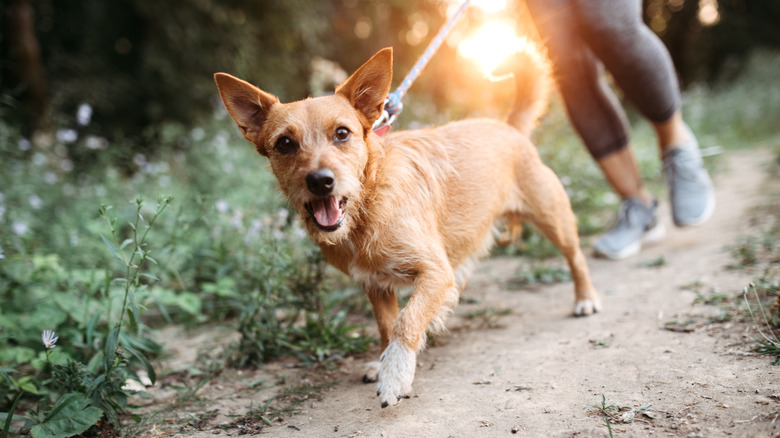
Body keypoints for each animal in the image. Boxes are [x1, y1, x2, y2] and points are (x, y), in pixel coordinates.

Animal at [210, 44, 600, 408]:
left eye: (342, 133)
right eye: (285, 143)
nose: (320, 181)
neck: (367, 208)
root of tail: (507, 127)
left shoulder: (433, 272)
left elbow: (406, 321)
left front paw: (395, 373)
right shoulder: (376, 285)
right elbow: (387, 324)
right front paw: (384, 361)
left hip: (553, 217)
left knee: (576, 257)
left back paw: (585, 299)